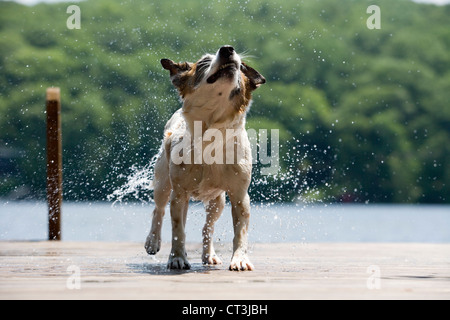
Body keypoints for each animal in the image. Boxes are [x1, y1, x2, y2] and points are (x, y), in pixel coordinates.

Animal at [144, 45, 266, 270]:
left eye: (241, 68)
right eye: (203, 63)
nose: (227, 49)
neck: (213, 132)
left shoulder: (239, 196)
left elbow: (240, 232)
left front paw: (240, 259)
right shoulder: (179, 193)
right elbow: (178, 231)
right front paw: (177, 258)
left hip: (217, 202)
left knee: (207, 227)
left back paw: (208, 255)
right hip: (164, 183)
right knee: (159, 210)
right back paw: (153, 242)